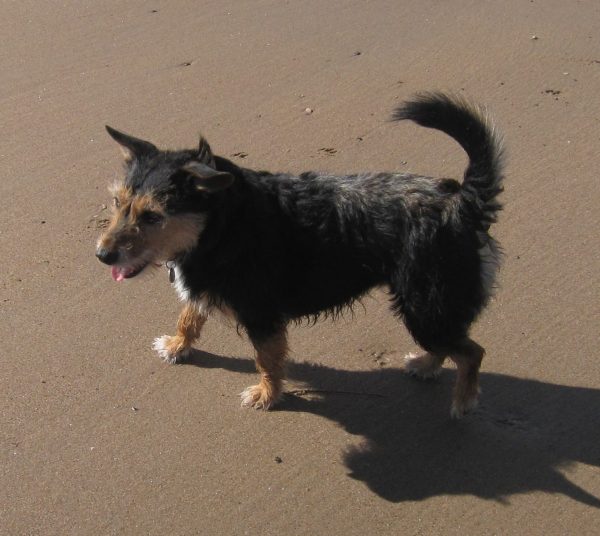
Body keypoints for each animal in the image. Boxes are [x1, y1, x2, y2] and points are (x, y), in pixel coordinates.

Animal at [96, 92, 504, 418]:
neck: (221, 226)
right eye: (117, 203)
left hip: (424, 304)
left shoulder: (261, 316)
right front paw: (178, 344)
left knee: (472, 352)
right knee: (452, 345)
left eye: (152, 216)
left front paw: (267, 394)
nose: (102, 255)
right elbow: (189, 315)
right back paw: (426, 364)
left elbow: (267, 359)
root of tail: (463, 202)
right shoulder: (206, 285)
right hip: (429, 310)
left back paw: (463, 401)